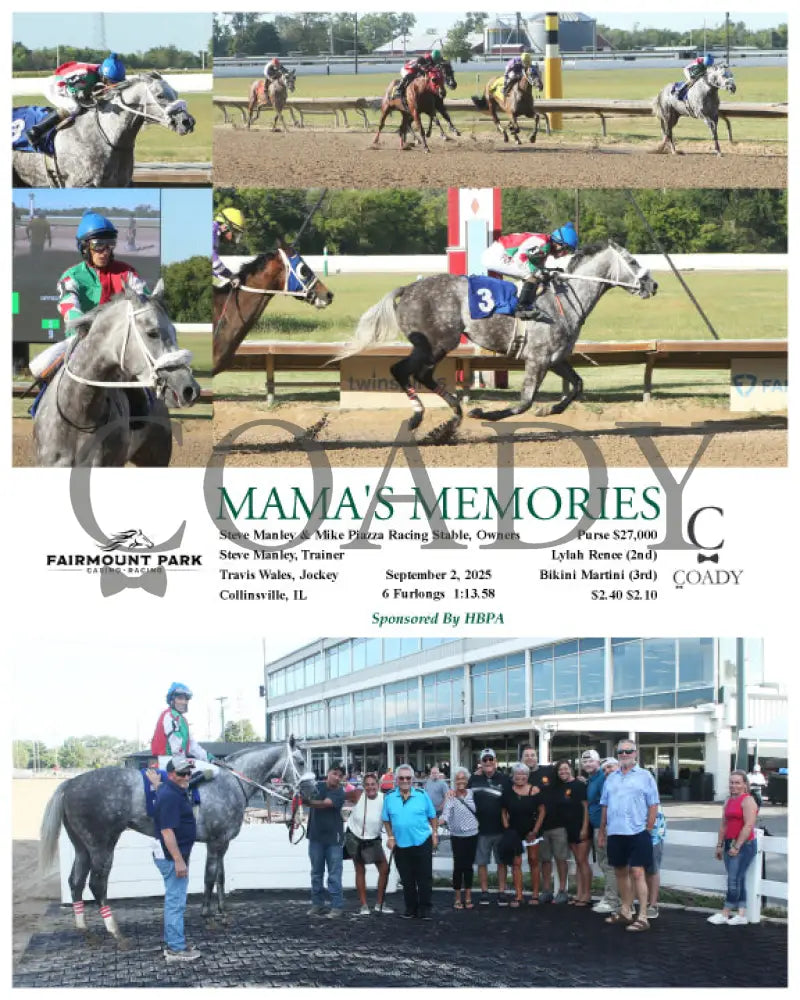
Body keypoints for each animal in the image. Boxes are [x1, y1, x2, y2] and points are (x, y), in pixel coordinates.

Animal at [12, 72, 196, 187]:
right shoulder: (79, 184)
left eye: (175, 93)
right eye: (160, 95)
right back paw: (32, 134)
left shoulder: (120, 184)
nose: (187, 122)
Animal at [39, 739, 317, 944]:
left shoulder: (222, 843)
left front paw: (222, 913)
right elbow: (209, 877)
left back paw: (82, 927)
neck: (231, 783)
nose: (312, 790)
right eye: (301, 761)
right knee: (97, 884)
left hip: (82, 847)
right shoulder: (216, 842)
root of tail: (71, 783)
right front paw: (208, 916)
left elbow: (220, 877)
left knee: (75, 882)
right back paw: (113, 929)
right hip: (102, 845)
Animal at [333, 242, 657, 432]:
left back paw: (451, 417)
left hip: (433, 346)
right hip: (437, 343)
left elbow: (577, 385)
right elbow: (525, 401)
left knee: (418, 374)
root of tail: (408, 288)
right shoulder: (537, 359)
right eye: (632, 261)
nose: (652, 285)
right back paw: (422, 416)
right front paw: (486, 414)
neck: (565, 300)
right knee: (404, 371)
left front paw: (549, 410)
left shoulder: (555, 359)